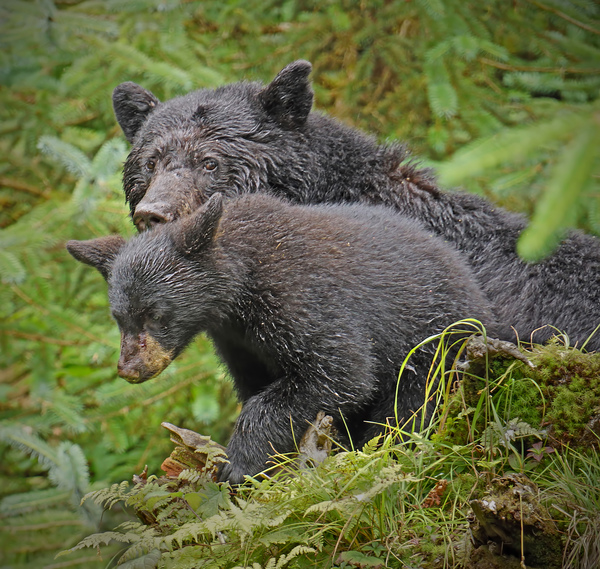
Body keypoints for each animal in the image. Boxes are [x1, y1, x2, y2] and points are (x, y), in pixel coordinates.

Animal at [67, 193, 506, 482]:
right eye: (119, 317)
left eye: (155, 314)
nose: (129, 368)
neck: (239, 291)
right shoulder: (237, 342)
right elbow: (255, 382)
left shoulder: (303, 299)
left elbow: (340, 372)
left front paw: (237, 465)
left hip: (433, 344)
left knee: (410, 408)